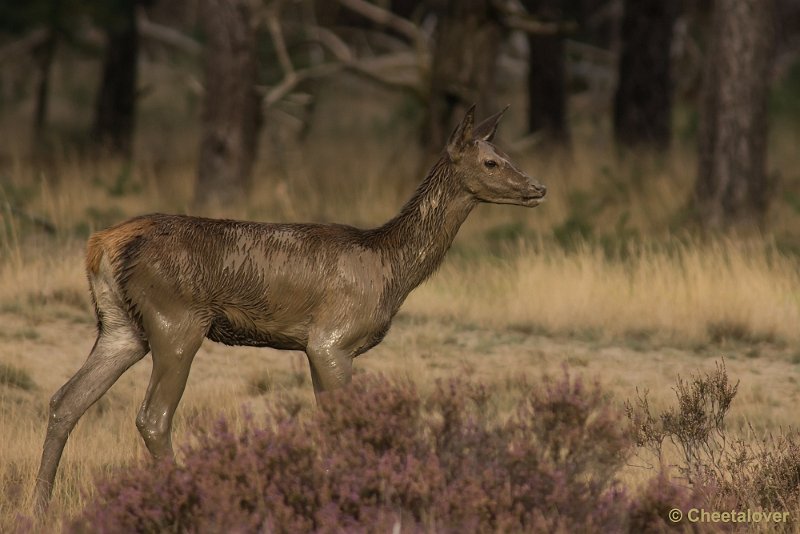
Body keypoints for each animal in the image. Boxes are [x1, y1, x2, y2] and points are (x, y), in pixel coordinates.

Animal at [31, 107, 544, 512]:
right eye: (491, 161)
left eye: (509, 155)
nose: (538, 187)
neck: (390, 270)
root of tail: (100, 245)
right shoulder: (332, 339)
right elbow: (344, 426)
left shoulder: (317, 347)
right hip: (176, 320)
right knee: (153, 417)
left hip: (121, 325)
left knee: (65, 400)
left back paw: (39, 507)